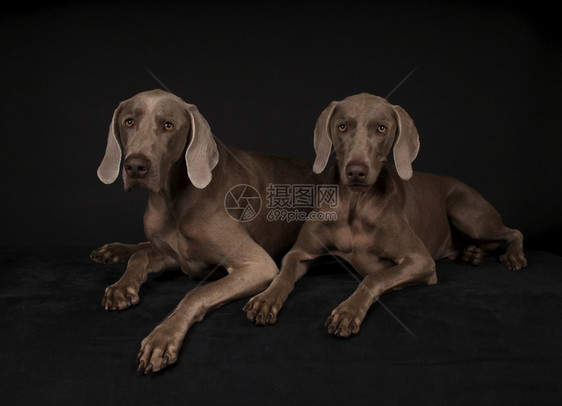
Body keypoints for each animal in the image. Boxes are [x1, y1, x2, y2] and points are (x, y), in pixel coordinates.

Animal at [89, 89, 312, 374]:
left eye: (168, 126)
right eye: (129, 122)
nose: (135, 166)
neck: (173, 199)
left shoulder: (257, 264)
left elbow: (196, 292)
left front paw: (163, 336)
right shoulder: (180, 257)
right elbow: (141, 256)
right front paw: (121, 286)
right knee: (141, 247)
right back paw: (112, 250)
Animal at [244, 93, 524, 338]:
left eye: (381, 128)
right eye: (342, 126)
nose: (356, 171)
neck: (355, 206)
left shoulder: (420, 261)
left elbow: (374, 276)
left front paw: (348, 311)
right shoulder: (300, 252)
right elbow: (284, 274)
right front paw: (265, 299)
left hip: (465, 211)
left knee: (513, 232)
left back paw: (513, 256)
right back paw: (471, 254)